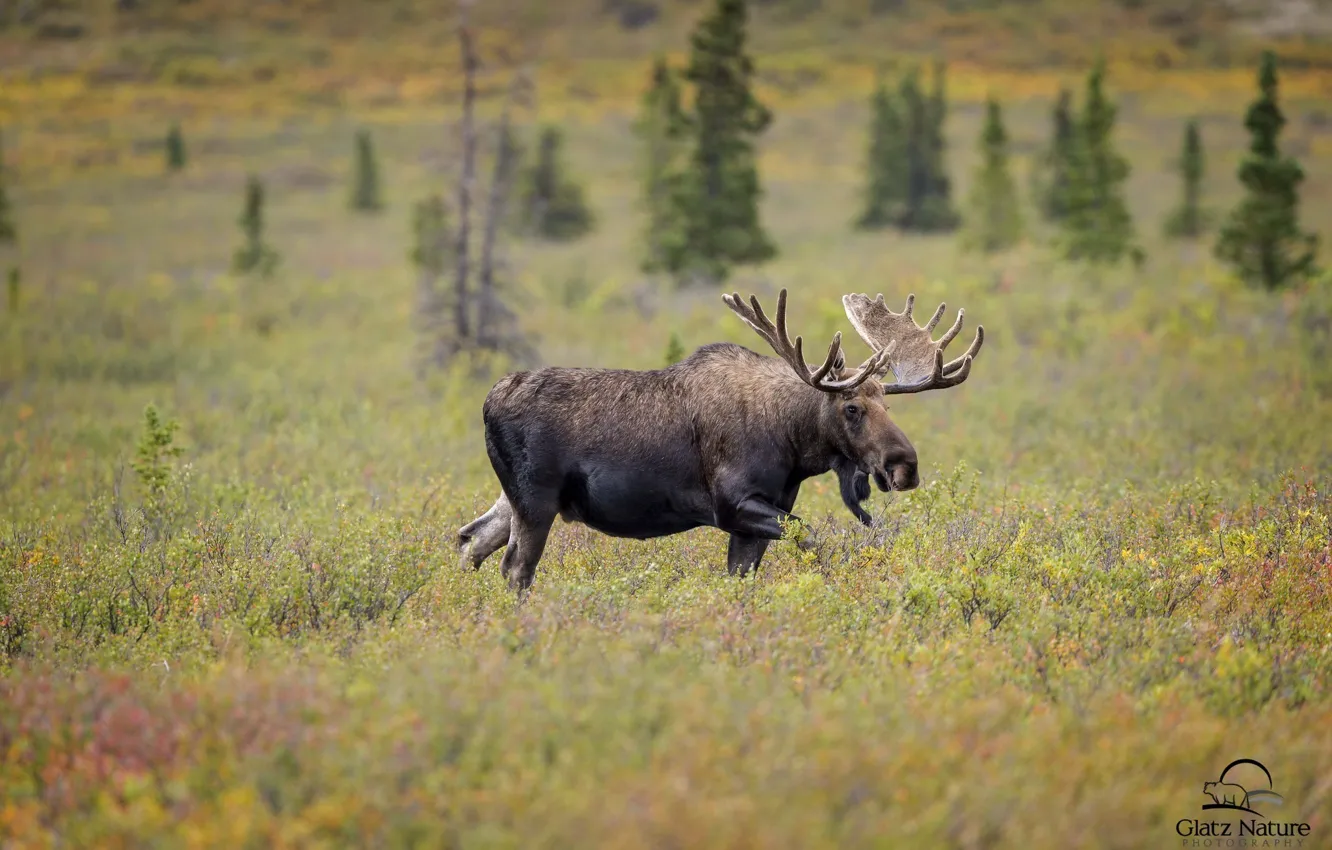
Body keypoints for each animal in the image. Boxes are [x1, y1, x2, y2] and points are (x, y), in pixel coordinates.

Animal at [458, 287, 991, 591]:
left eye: (888, 403)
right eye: (852, 407)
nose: (906, 465)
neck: (793, 444)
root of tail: (487, 401)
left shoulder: (752, 520)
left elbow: (742, 578)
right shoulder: (732, 505)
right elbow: (811, 537)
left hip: (515, 500)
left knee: (470, 539)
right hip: (536, 499)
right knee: (515, 568)